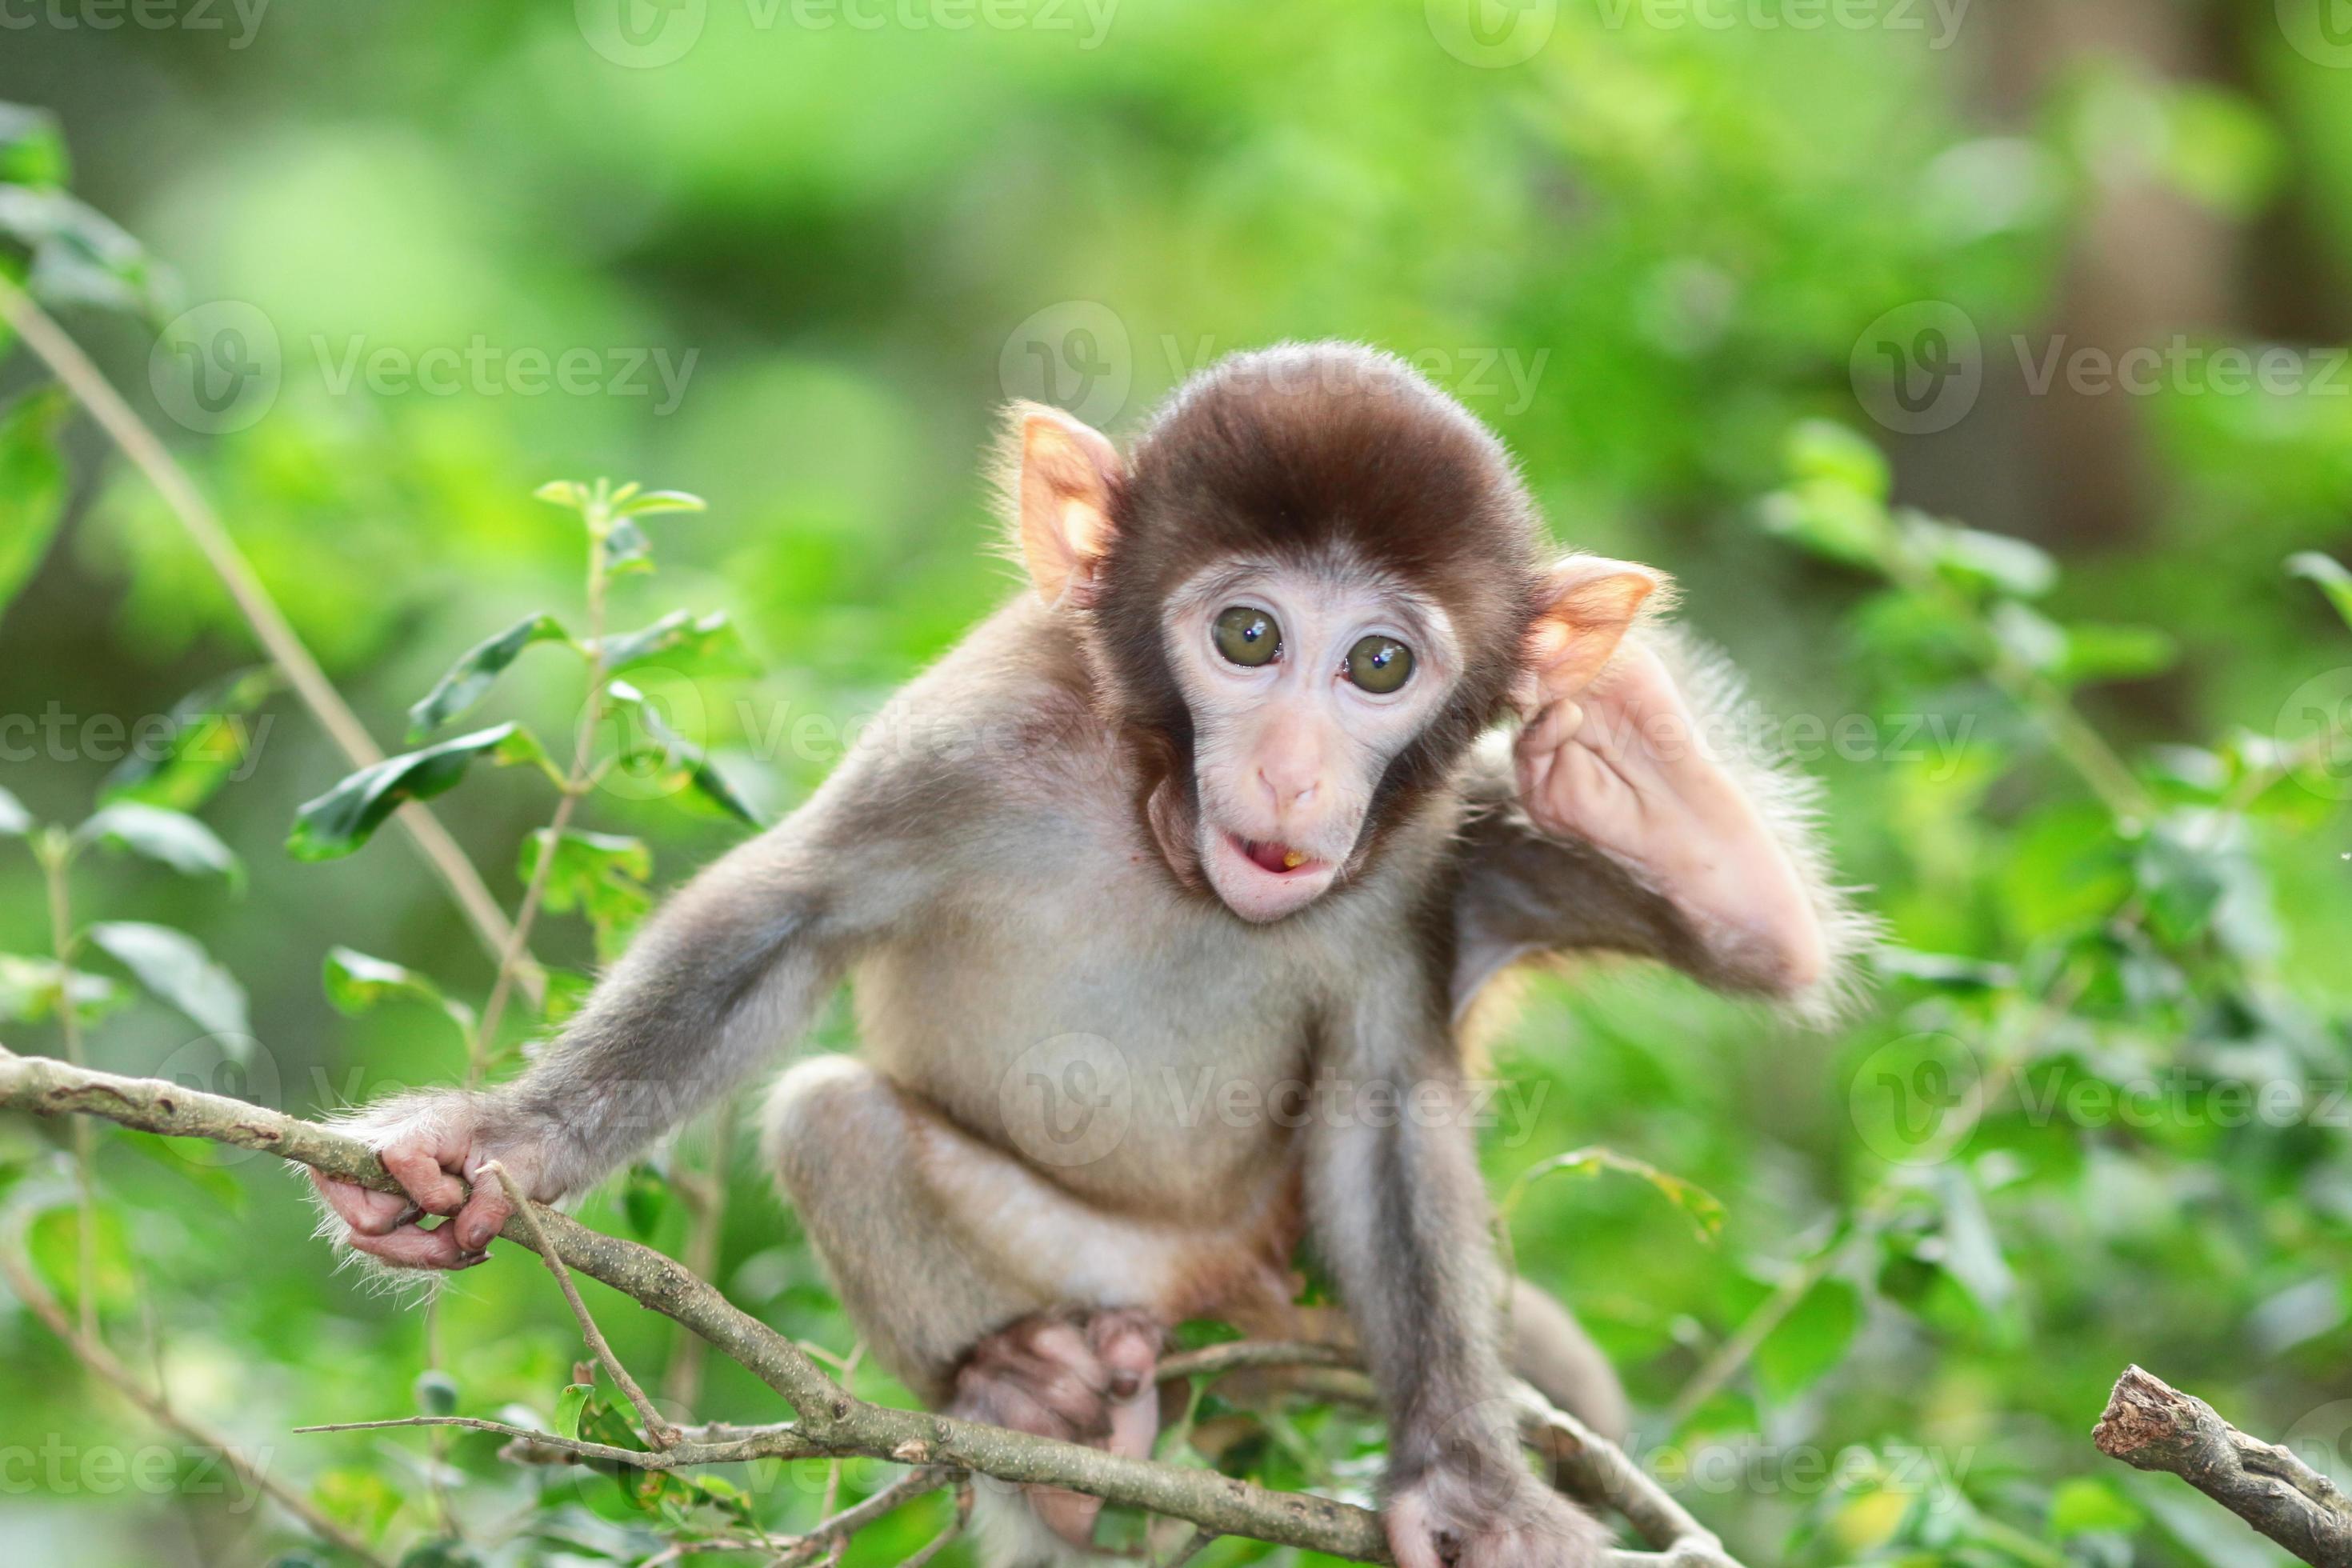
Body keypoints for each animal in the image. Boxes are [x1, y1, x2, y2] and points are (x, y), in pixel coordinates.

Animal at [313, 345, 1853, 1568]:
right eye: (1248, 636)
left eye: (1378, 666)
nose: (1293, 776)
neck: (1165, 842)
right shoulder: (977, 735)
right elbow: (785, 920)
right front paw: (499, 1142)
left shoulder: (1408, 856)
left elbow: (1382, 1113)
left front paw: (1467, 1483)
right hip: (1108, 1278)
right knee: (830, 1120)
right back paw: (1043, 1421)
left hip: (1289, 1269)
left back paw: (1663, 800)